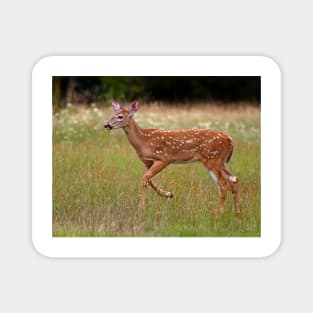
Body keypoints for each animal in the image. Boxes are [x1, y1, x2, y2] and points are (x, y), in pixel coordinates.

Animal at [103, 101, 238, 216]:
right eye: (112, 114)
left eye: (120, 116)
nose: (106, 125)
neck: (143, 141)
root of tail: (230, 140)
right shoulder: (148, 162)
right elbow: (149, 179)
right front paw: (169, 194)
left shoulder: (164, 158)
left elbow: (145, 178)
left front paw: (141, 208)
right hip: (221, 162)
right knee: (234, 180)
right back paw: (238, 214)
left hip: (212, 159)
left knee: (223, 184)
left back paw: (218, 214)